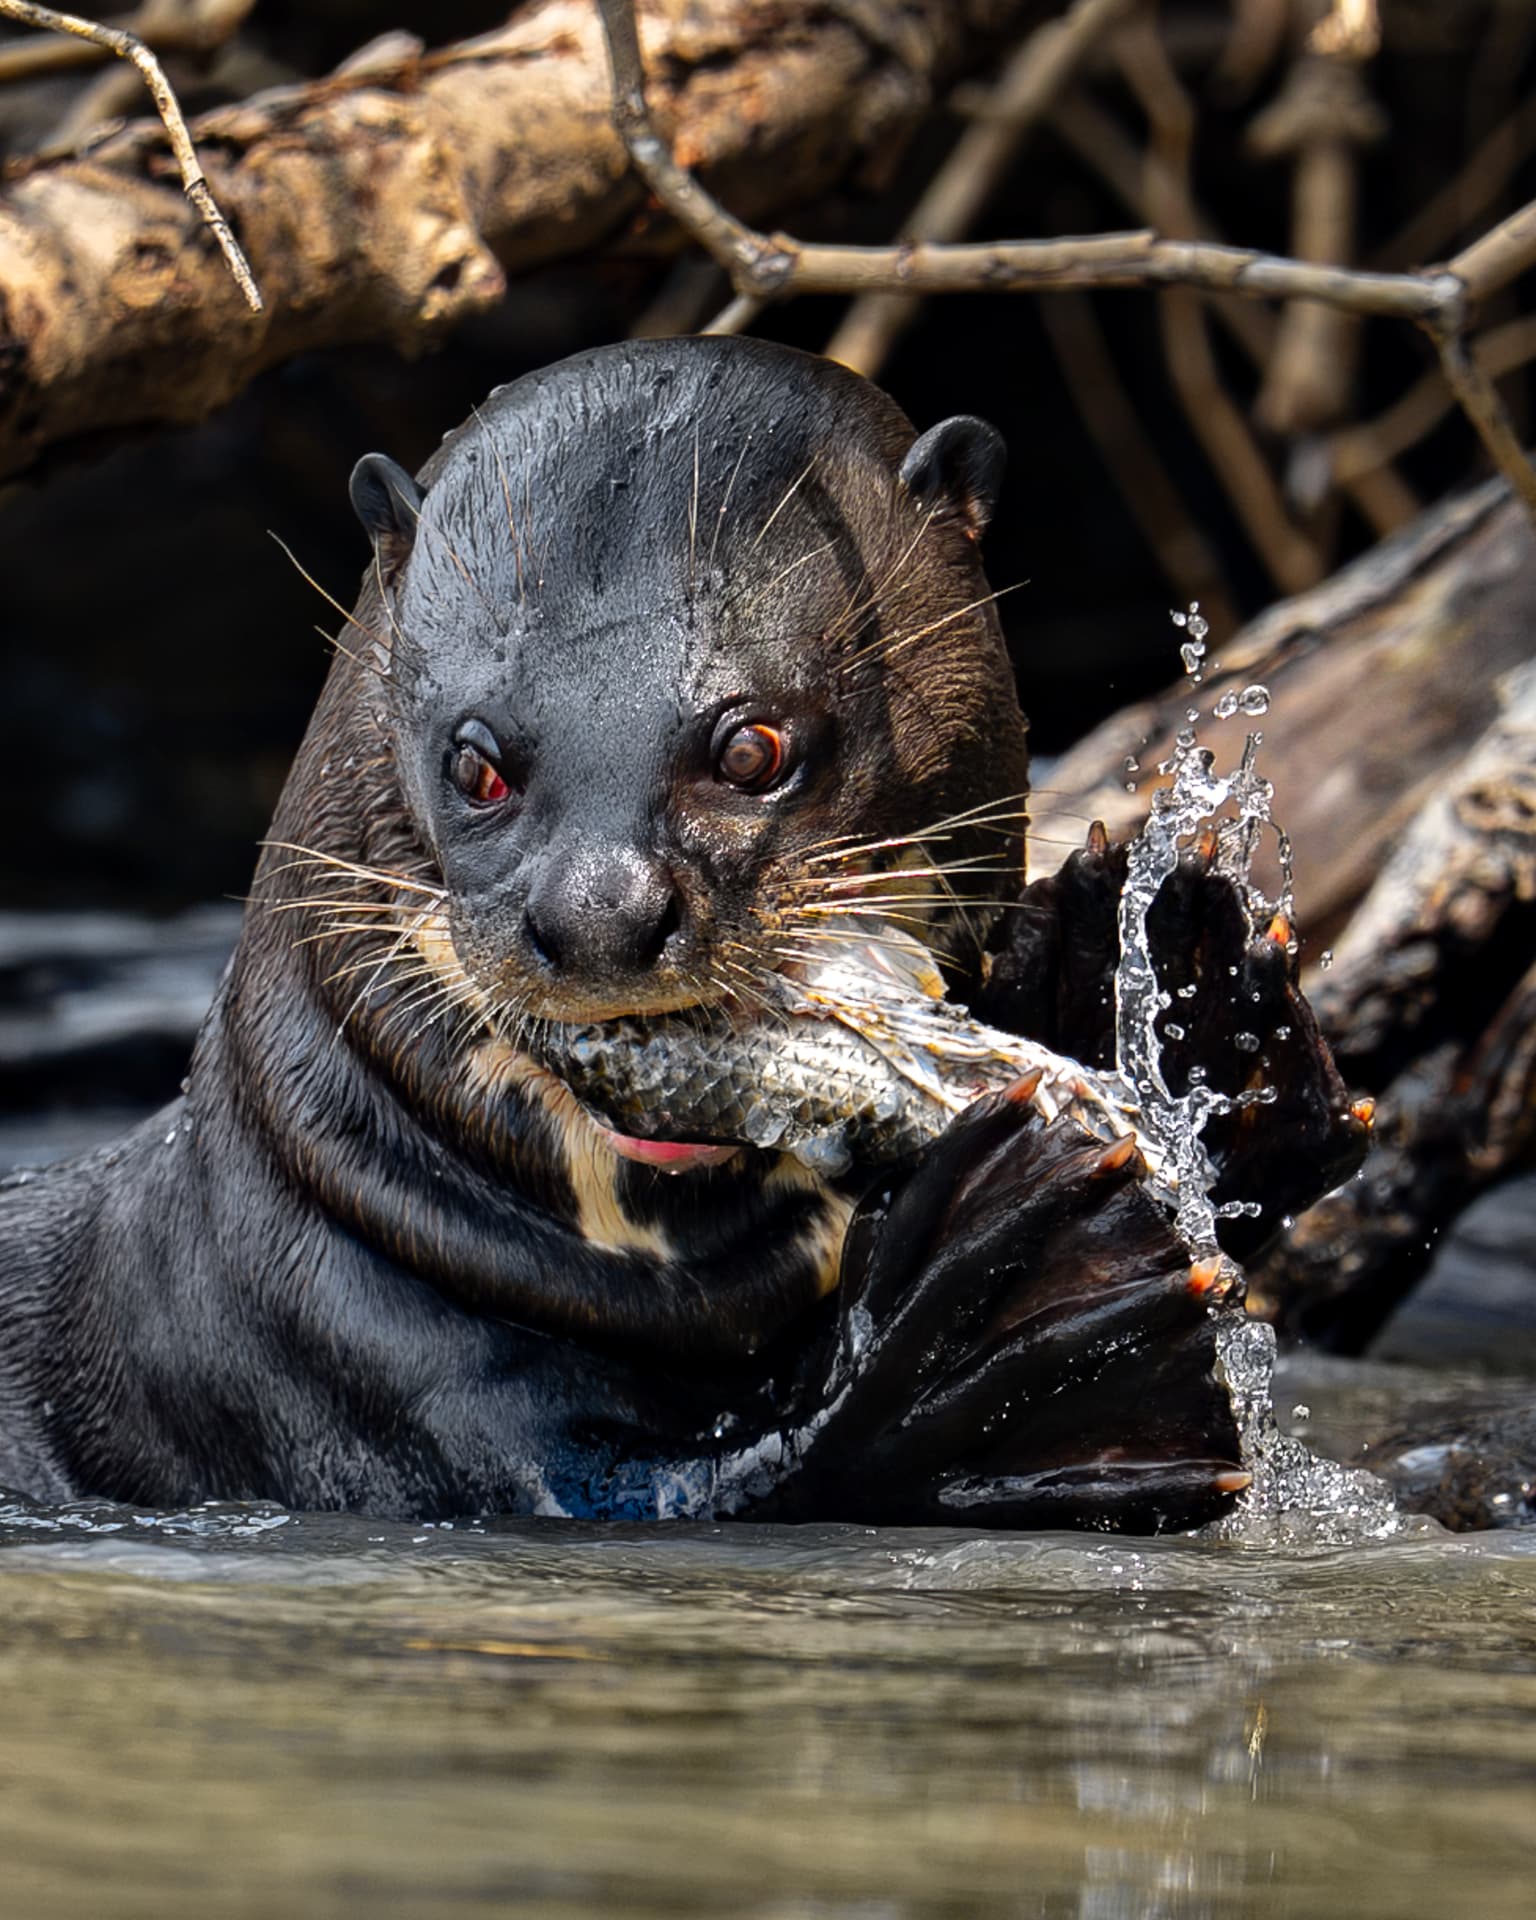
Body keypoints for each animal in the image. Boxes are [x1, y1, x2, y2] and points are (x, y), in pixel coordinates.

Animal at [0, 339, 1364, 1528]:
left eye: (751, 745)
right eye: (475, 761)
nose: (598, 914)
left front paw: (1186, 995)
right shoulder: (358, 1385)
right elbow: (747, 1477)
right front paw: (1015, 1303)